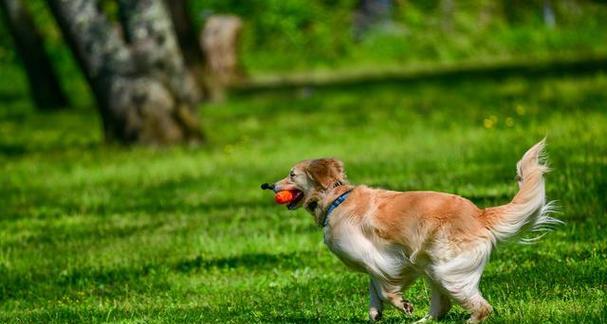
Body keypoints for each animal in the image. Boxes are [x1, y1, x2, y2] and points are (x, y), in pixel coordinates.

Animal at [266, 139, 560, 322]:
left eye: (291, 175)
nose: (267, 185)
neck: (337, 200)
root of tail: (479, 214)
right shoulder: (376, 260)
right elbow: (374, 288)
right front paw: (376, 312)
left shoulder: (384, 258)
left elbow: (385, 288)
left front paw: (401, 304)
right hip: (433, 268)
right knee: (442, 306)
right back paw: (423, 321)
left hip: (446, 271)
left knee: (481, 307)